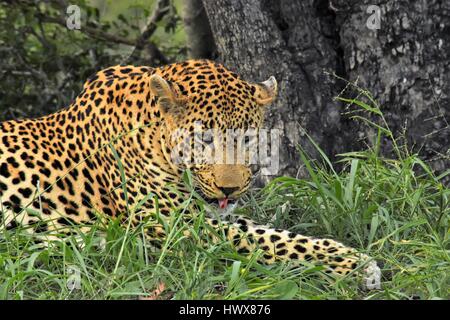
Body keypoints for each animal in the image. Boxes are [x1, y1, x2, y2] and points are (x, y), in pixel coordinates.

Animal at [0, 60, 380, 284]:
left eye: (246, 137)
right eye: (204, 138)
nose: (229, 190)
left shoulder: (204, 213)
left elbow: (276, 234)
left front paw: (348, 255)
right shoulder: (174, 225)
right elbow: (267, 242)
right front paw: (354, 265)